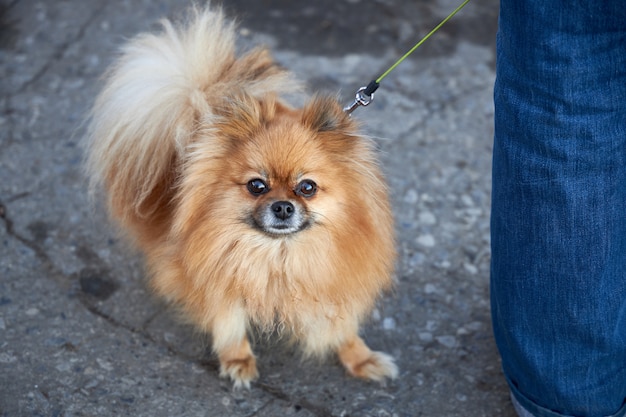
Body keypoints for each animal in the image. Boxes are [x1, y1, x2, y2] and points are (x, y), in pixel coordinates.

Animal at [84, 4, 394, 386]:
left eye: (307, 187)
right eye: (256, 185)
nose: (283, 207)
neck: (279, 255)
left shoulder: (335, 283)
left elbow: (343, 326)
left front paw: (361, 358)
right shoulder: (216, 279)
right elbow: (227, 321)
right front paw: (237, 359)